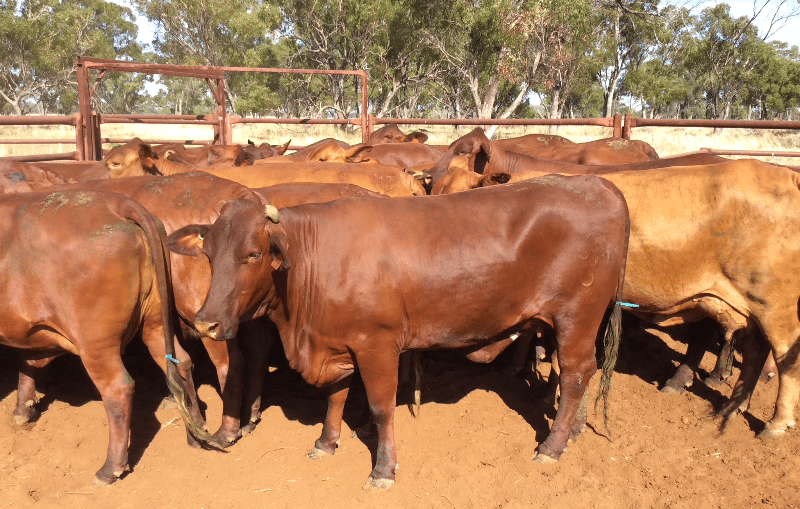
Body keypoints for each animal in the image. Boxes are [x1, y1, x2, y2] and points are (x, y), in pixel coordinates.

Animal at [0, 189, 219, 482]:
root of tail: (118, 203)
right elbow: (29, 361)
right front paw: (23, 410)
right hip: (154, 324)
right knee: (180, 363)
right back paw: (195, 433)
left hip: (95, 343)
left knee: (118, 388)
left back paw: (110, 468)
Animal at [167, 176, 632, 488]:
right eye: (208, 254)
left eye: (253, 253)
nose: (206, 321)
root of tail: (597, 184)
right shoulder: (335, 344)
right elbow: (334, 397)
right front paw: (326, 443)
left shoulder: (376, 345)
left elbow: (381, 408)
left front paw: (383, 469)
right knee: (580, 372)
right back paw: (572, 431)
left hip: (575, 317)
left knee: (575, 372)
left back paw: (551, 447)